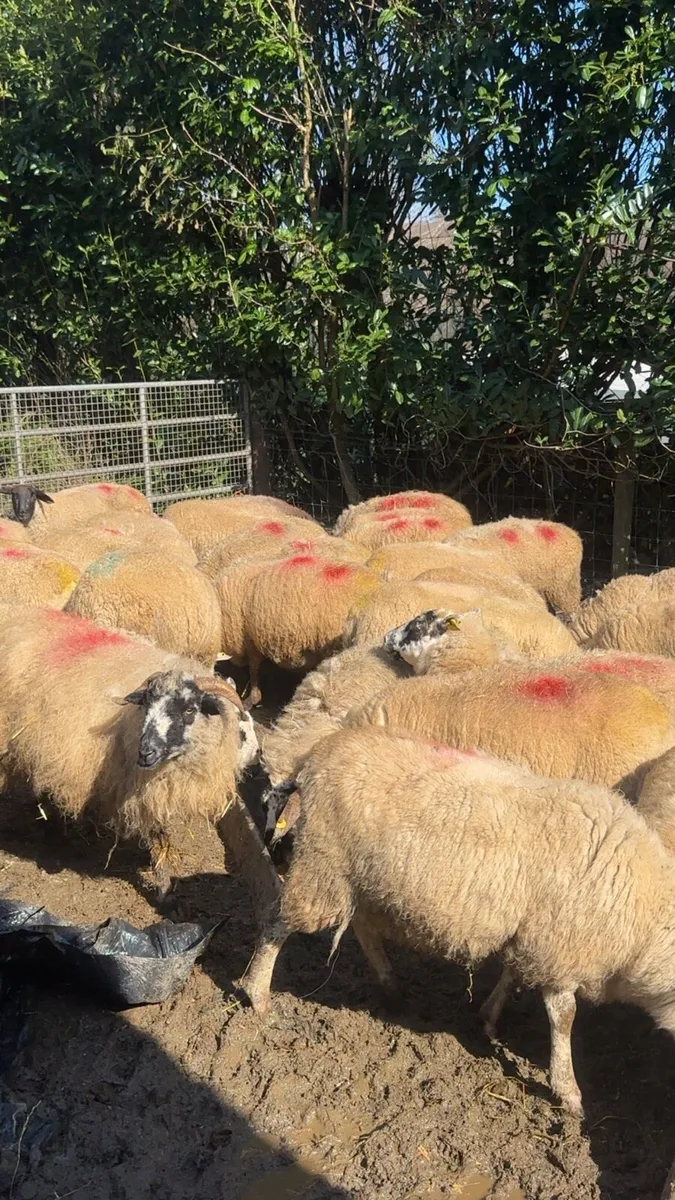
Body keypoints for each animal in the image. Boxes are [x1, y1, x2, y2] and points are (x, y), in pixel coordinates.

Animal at [0, 605, 268, 897]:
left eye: (189, 709)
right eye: (146, 706)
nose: (145, 753)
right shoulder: (141, 787)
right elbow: (158, 836)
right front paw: (165, 889)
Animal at [241, 724, 675, 1117]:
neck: (646, 916)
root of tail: (315, 757)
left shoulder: (530, 937)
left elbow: (511, 976)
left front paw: (489, 1017)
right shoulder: (557, 948)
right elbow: (563, 1017)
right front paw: (568, 1092)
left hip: (364, 877)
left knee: (363, 927)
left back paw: (391, 986)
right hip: (323, 864)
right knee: (278, 922)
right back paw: (258, 994)